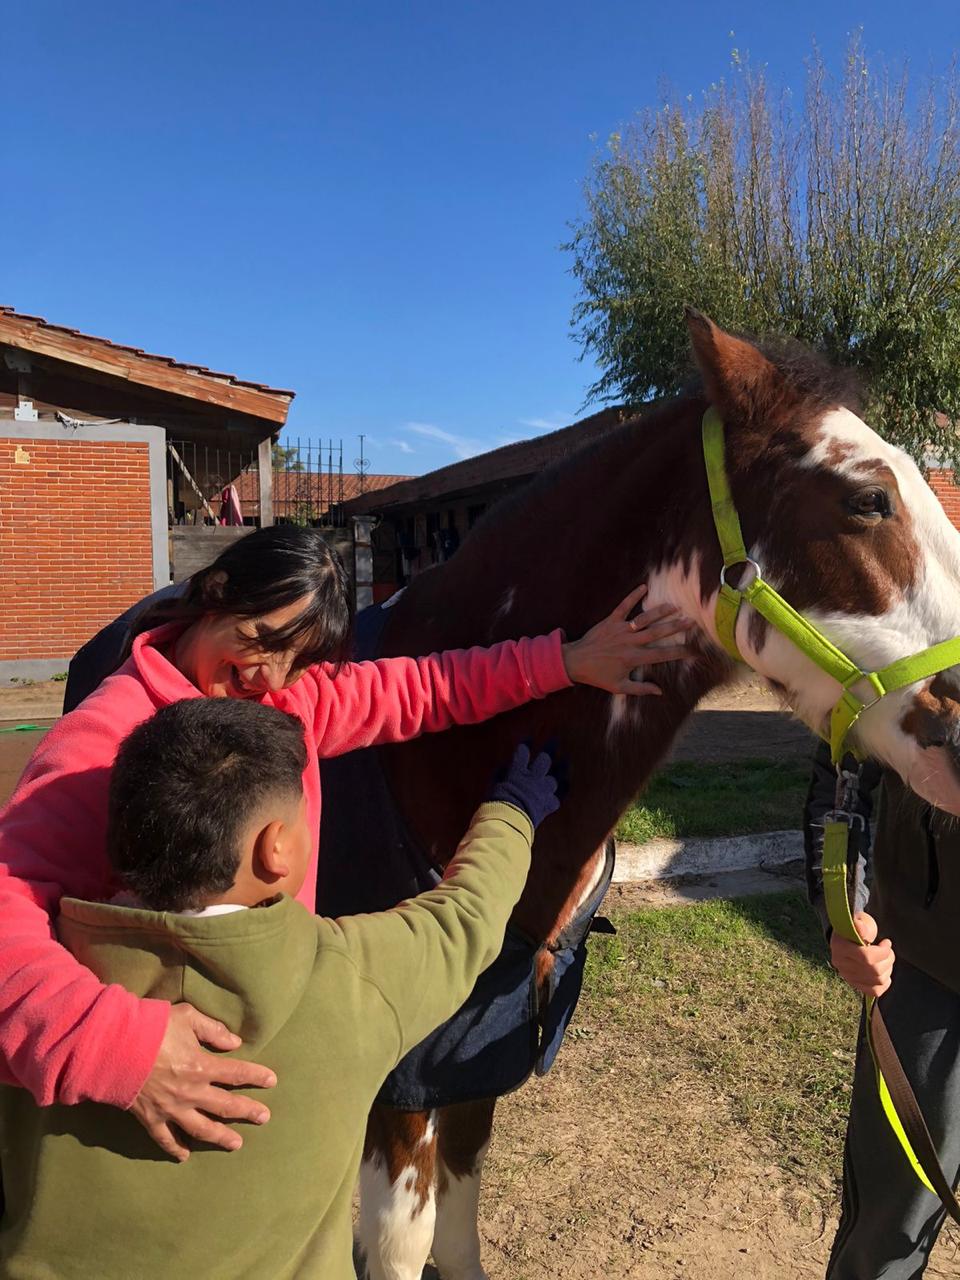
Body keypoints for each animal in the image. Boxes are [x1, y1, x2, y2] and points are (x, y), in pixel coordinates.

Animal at [330, 311, 960, 1280]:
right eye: (867, 501)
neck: (433, 751)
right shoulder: (397, 1079)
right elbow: (401, 1240)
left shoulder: (476, 1056)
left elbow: (460, 1213)